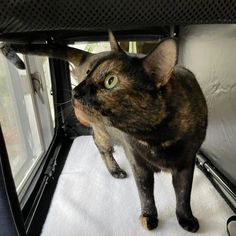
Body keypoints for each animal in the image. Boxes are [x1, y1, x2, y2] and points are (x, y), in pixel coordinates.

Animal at [0, 32, 206, 233]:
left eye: (110, 81)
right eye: (89, 73)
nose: (76, 92)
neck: (156, 138)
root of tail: (91, 54)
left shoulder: (187, 164)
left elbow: (183, 194)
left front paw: (186, 218)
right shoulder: (138, 163)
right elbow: (146, 193)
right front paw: (149, 216)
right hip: (102, 130)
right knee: (100, 145)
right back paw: (115, 170)